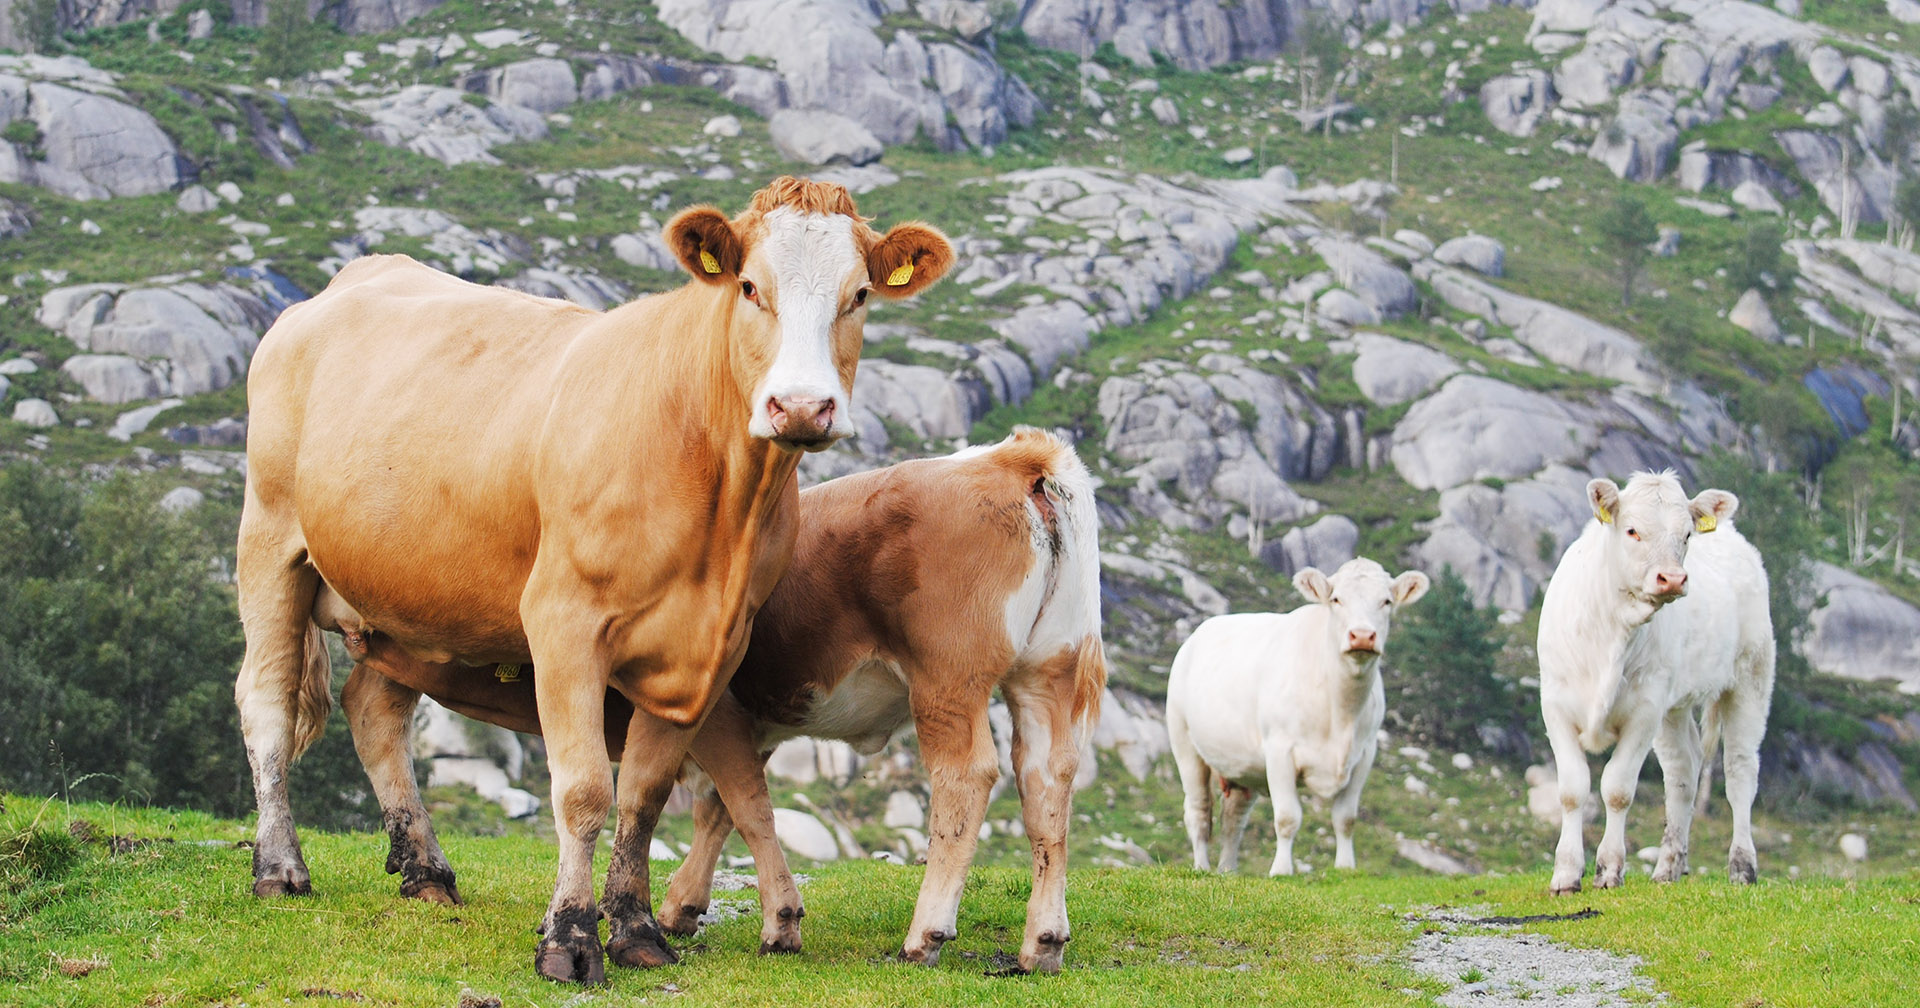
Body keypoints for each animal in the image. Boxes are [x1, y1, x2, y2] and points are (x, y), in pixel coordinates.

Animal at [232, 176, 952, 979]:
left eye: (858, 295)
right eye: (748, 287)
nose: (800, 406)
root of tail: (350, 281)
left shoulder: (704, 649)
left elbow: (643, 794)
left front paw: (635, 929)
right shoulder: (564, 621)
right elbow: (581, 791)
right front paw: (570, 939)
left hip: (410, 597)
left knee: (373, 711)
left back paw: (426, 870)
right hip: (271, 540)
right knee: (266, 702)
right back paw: (280, 868)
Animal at [664, 426, 1113, 975]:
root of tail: (1010, 457)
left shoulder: (720, 713)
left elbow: (736, 806)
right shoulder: (753, 725)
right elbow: (719, 809)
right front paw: (683, 905)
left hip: (948, 678)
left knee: (965, 777)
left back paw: (925, 936)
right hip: (1048, 671)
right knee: (1046, 783)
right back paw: (1043, 943)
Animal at [1159, 552, 1436, 875]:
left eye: (1387, 601)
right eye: (1336, 599)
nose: (1362, 636)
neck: (1341, 712)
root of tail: (1196, 636)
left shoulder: (1365, 754)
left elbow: (1346, 818)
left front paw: (1345, 867)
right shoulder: (1279, 749)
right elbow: (1287, 817)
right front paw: (1281, 870)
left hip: (1242, 765)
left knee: (1234, 819)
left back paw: (1228, 870)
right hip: (1185, 744)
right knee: (1199, 811)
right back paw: (1202, 866)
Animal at [1536, 468, 1774, 890]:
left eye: (1687, 534)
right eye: (1631, 530)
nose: (1673, 579)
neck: (1613, 630)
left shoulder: (1644, 711)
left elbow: (1617, 789)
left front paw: (1609, 868)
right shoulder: (1556, 704)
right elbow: (1572, 790)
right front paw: (1565, 873)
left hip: (1751, 677)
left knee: (1740, 771)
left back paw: (1742, 866)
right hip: (1673, 706)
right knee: (1683, 770)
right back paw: (1668, 867)